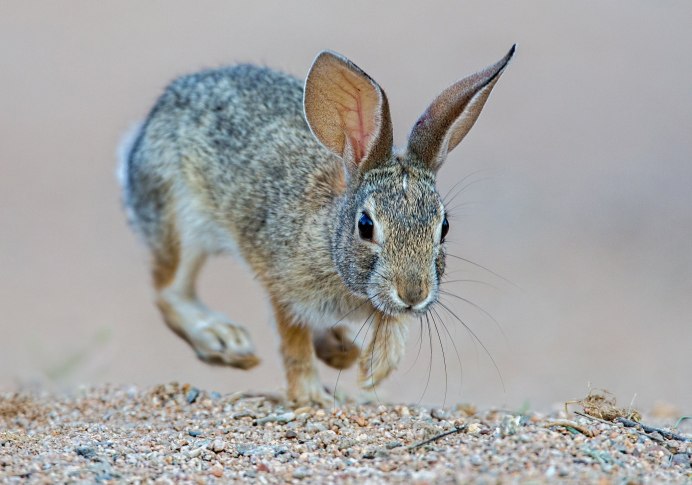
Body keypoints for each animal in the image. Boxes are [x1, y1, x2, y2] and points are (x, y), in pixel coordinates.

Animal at [119, 45, 515, 406]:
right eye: (365, 225)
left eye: (443, 226)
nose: (413, 295)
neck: (330, 238)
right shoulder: (285, 286)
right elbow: (293, 341)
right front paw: (311, 398)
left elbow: (392, 324)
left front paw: (374, 368)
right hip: (180, 217)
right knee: (170, 291)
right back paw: (225, 340)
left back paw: (340, 348)